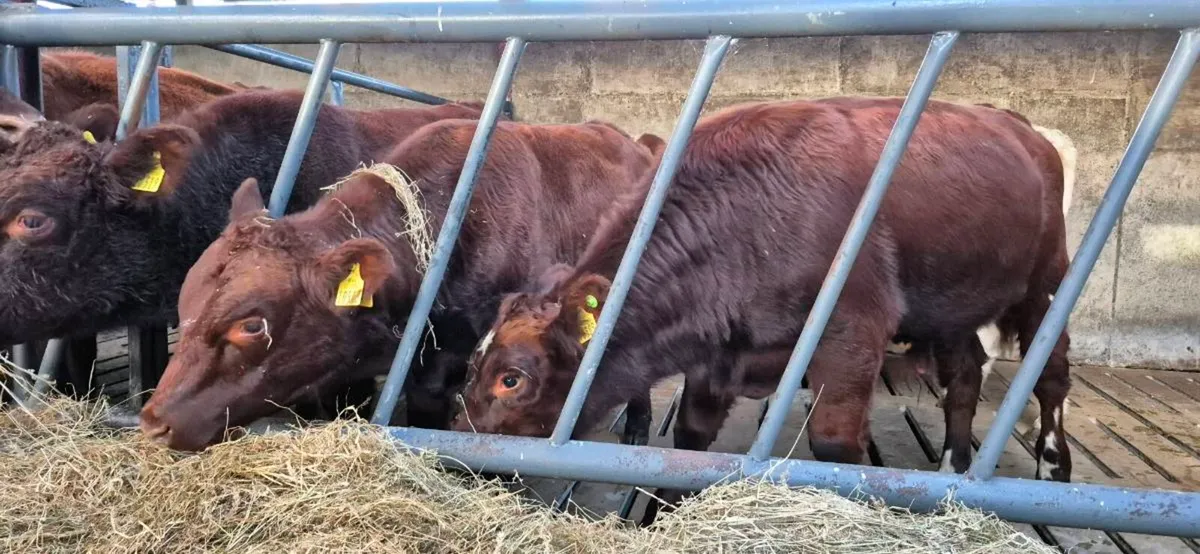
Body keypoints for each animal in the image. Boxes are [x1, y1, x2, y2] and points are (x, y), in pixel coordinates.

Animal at [451, 98, 1075, 522]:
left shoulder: (852, 331)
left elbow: (835, 445)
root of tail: (1022, 127)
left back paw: (1052, 465)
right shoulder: (716, 353)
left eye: (512, 378)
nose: (454, 449)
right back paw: (951, 470)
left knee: (1051, 377)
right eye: (472, 364)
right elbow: (690, 443)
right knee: (965, 376)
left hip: (1046, 284)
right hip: (952, 307)